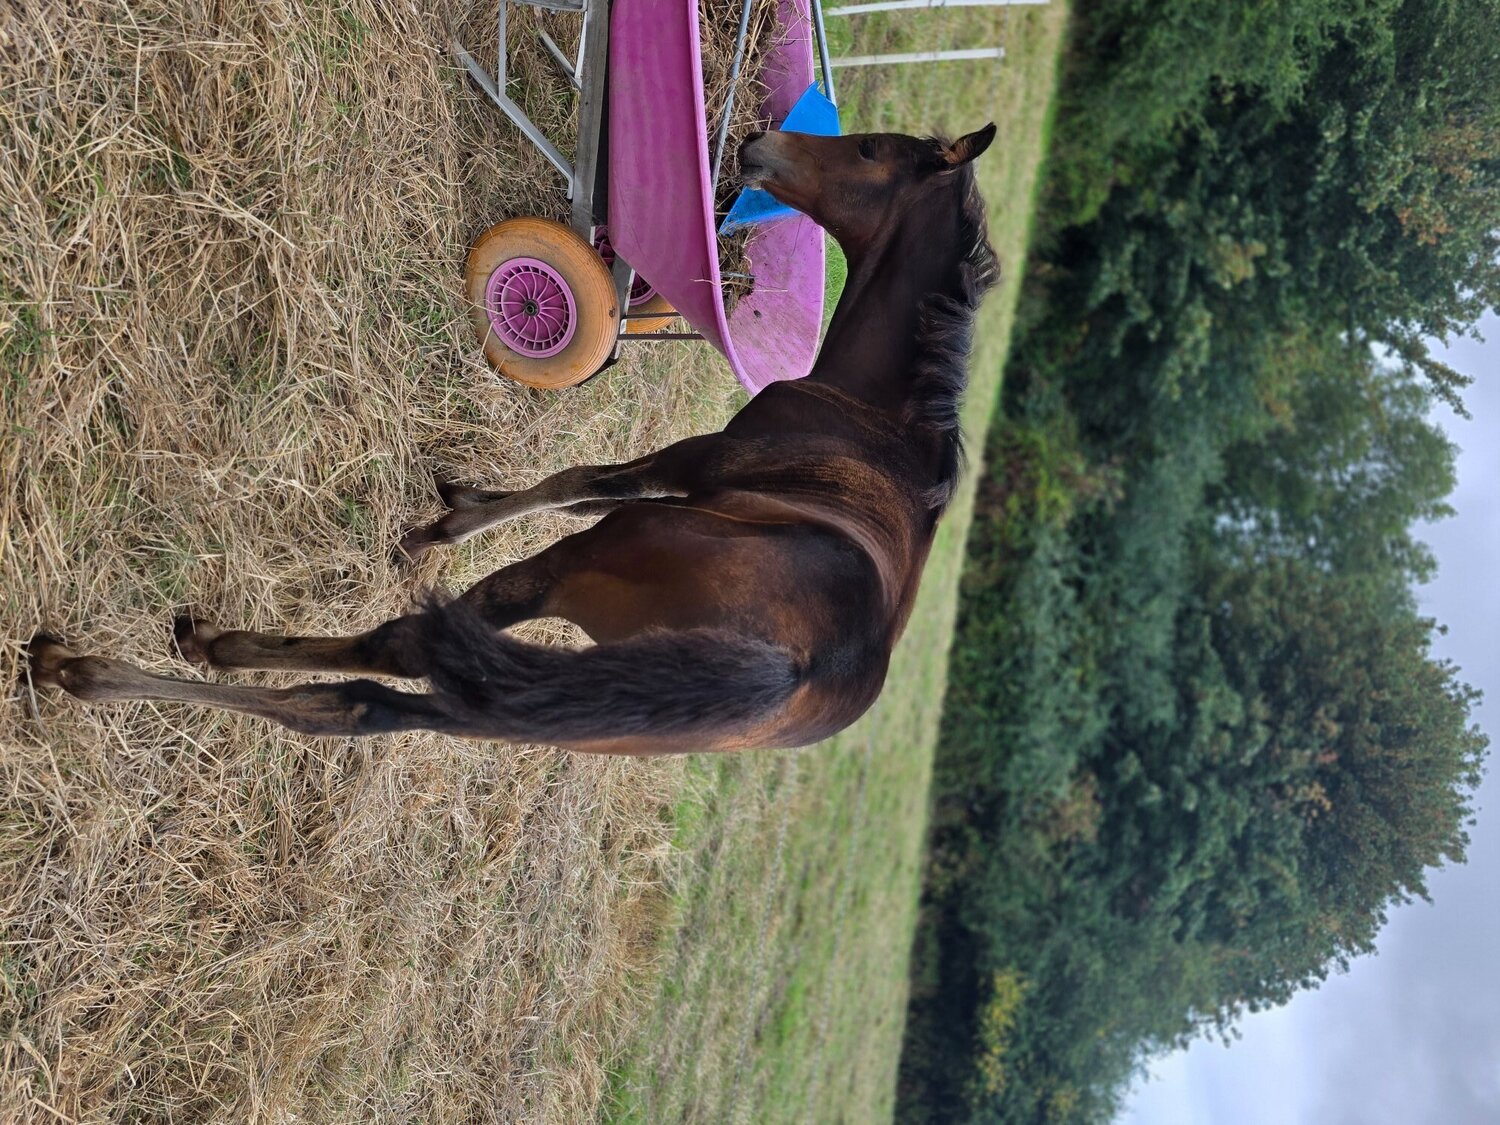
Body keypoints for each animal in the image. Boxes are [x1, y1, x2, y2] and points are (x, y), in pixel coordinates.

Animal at [26, 124, 999, 754]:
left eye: (870, 150)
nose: (760, 140)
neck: (877, 416)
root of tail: (792, 669)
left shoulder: (695, 461)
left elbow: (582, 476)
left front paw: (441, 526)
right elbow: (576, 479)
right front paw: (460, 501)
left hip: (574, 577)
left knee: (391, 652)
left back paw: (113, 661)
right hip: (574, 712)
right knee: (354, 708)